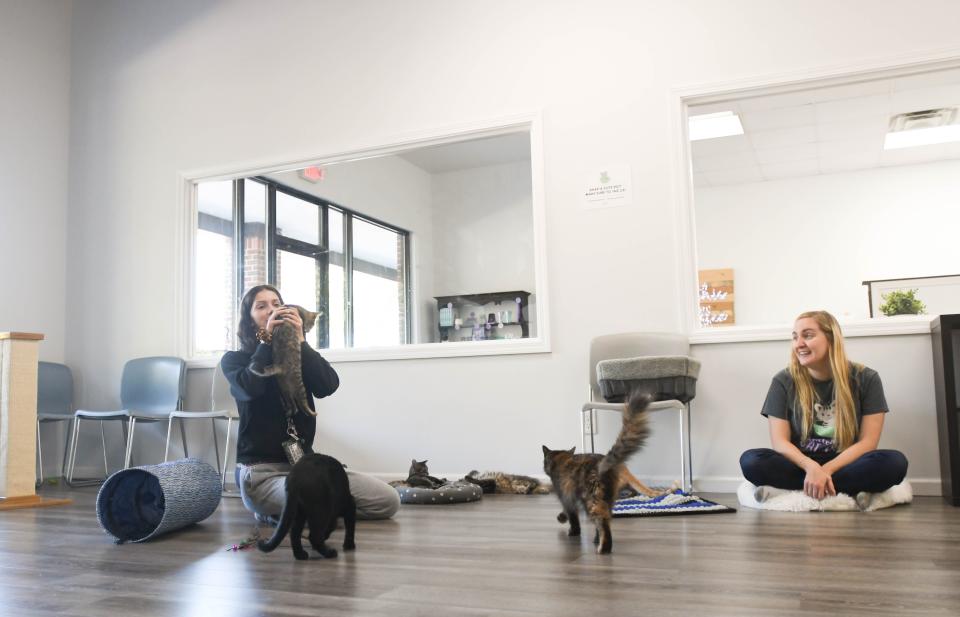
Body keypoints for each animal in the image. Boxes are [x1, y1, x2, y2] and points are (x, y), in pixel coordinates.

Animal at [540, 390, 652, 552]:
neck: (562, 461)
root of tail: (603, 462)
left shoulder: (566, 496)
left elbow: (573, 516)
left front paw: (572, 530)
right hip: (608, 499)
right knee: (605, 519)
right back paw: (596, 540)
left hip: (592, 498)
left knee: (602, 522)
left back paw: (603, 547)